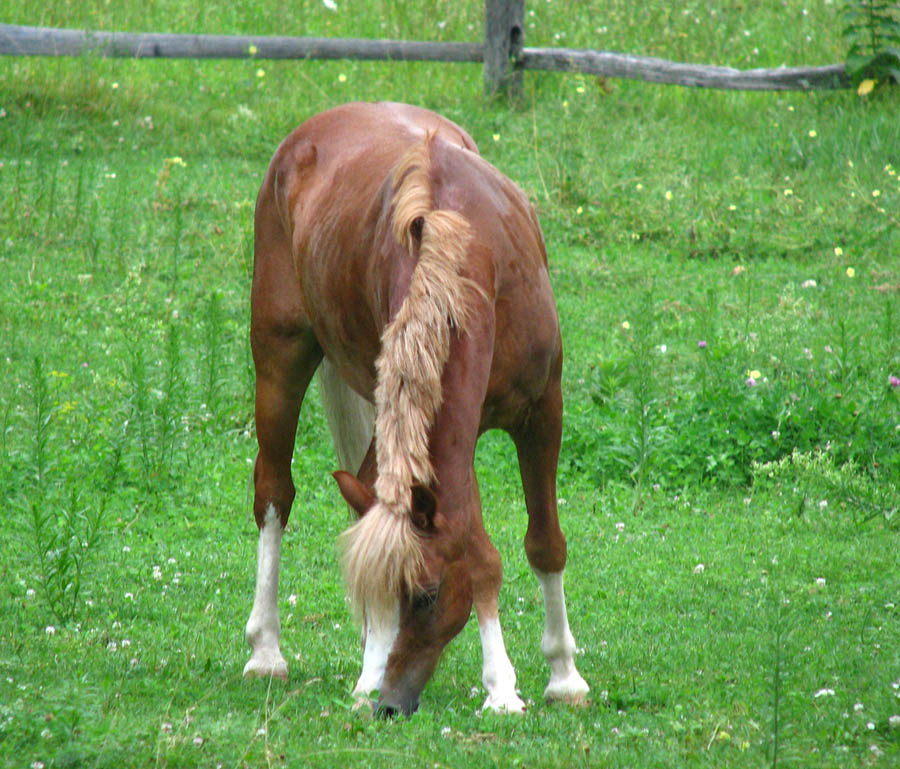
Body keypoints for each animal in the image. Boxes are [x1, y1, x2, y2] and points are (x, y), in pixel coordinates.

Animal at [243, 102, 592, 712]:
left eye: (427, 596)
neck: (472, 256)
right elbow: (479, 554)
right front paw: (501, 684)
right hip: (280, 358)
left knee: (359, 490)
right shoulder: (449, 432)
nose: (389, 704)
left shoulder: (542, 412)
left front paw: (563, 676)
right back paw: (273, 653)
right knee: (275, 493)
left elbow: (545, 543)